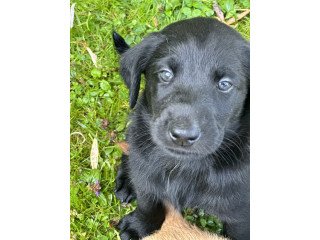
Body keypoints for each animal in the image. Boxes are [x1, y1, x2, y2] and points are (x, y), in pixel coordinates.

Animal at [112, 17, 250, 240]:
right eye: (165, 74)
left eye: (225, 84)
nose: (183, 136)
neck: (184, 166)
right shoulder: (147, 179)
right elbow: (148, 202)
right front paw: (140, 226)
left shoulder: (241, 213)